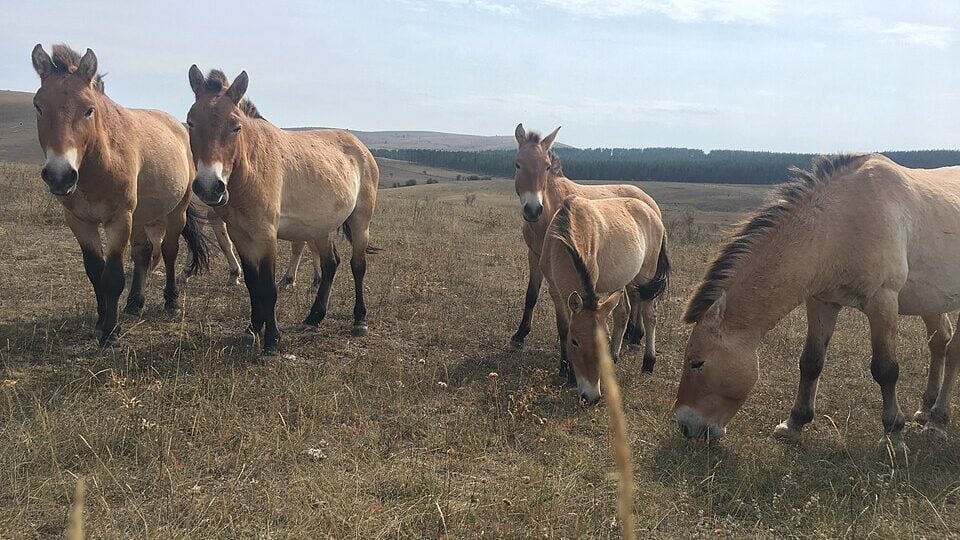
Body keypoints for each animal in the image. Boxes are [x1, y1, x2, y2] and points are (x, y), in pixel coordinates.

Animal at [31, 44, 208, 347]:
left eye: (88, 110)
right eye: (39, 106)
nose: (60, 175)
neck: (99, 164)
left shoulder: (119, 219)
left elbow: (112, 276)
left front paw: (111, 334)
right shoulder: (80, 222)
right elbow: (95, 272)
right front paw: (102, 321)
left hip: (176, 212)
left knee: (169, 251)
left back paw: (171, 302)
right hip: (140, 216)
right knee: (144, 252)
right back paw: (135, 303)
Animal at [185, 67, 379, 355]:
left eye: (235, 126)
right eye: (190, 122)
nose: (210, 186)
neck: (252, 167)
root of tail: (360, 146)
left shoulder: (266, 235)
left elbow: (268, 288)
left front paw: (271, 342)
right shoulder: (240, 235)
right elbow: (253, 284)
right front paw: (252, 329)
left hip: (360, 222)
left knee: (358, 265)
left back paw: (360, 320)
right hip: (320, 228)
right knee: (331, 264)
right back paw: (314, 317)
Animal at [511, 124, 665, 373]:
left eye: (546, 166)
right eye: (518, 164)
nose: (533, 209)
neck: (550, 213)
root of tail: (650, 204)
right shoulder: (535, 256)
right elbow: (531, 295)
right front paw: (519, 335)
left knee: (643, 302)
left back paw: (640, 346)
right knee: (635, 299)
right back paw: (633, 336)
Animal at [541, 196, 670, 402]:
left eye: (605, 339)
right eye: (575, 342)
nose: (592, 397)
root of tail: (653, 213)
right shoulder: (555, 292)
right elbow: (563, 327)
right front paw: (565, 368)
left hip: (645, 276)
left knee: (650, 315)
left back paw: (648, 363)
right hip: (624, 281)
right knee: (623, 314)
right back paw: (614, 357)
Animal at [674, 153, 960, 455]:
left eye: (697, 363)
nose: (686, 425)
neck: (841, 223)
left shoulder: (883, 301)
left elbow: (885, 370)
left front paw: (893, 434)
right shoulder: (822, 302)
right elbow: (811, 361)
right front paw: (794, 424)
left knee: (953, 351)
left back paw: (938, 421)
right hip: (930, 301)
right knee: (940, 342)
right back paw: (926, 410)